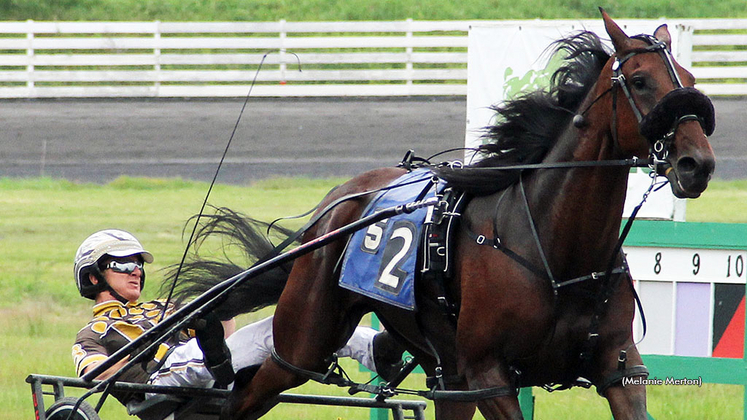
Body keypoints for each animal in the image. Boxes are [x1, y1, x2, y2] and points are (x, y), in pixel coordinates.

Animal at [175, 9, 720, 420]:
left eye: (692, 79)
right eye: (640, 80)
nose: (697, 163)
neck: (555, 252)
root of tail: (336, 205)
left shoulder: (618, 368)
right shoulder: (489, 376)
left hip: (446, 373)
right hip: (303, 342)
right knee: (244, 396)